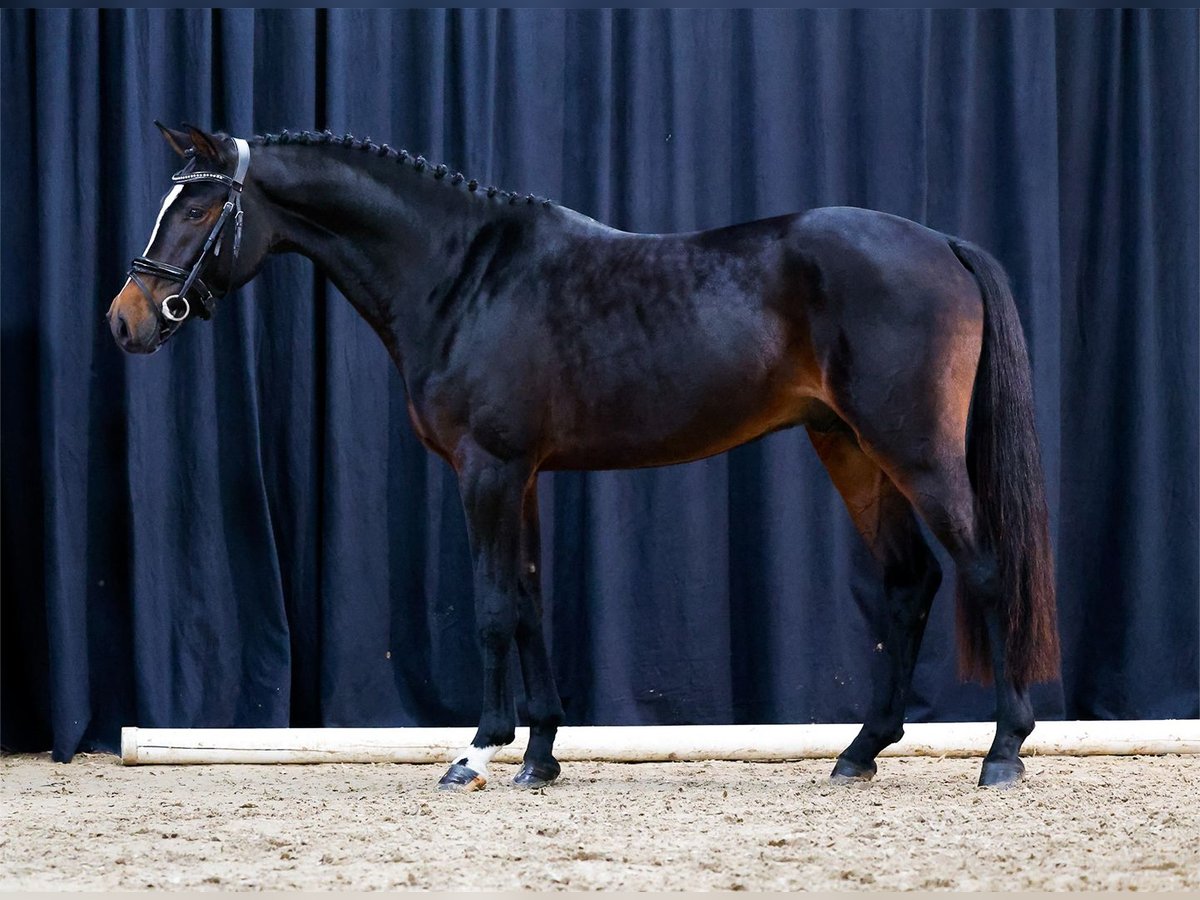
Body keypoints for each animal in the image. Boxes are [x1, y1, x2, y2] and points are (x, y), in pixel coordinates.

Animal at [105, 123, 1060, 792]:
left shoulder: (487, 469)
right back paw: (861, 752)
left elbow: (494, 606)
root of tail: (940, 243)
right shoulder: (521, 475)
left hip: (915, 449)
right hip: (851, 448)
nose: (126, 320)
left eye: (199, 208)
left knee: (982, 569)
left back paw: (1004, 750)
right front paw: (541, 754)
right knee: (908, 582)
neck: (464, 277)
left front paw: (478, 751)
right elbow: (530, 600)